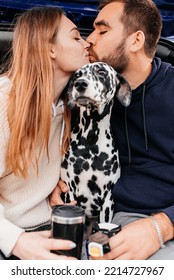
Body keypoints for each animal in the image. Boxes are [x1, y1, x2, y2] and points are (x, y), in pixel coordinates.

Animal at [60, 61, 130, 228]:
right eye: (77, 75)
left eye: (101, 72)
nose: (80, 84)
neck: (90, 141)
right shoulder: (71, 192)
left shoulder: (108, 199)